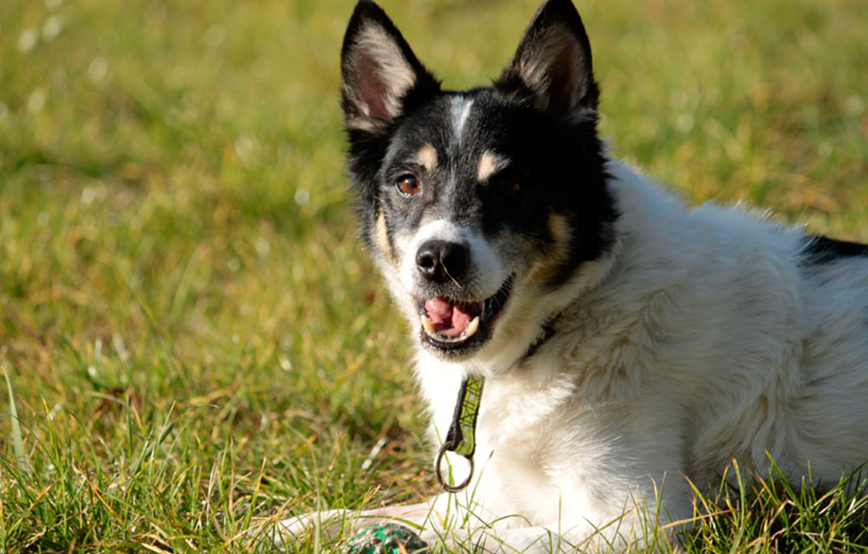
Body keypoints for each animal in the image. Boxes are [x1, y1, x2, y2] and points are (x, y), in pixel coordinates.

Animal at [276, 1, 868, 548]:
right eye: (407, 183)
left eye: (512, 186)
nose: (439, 259)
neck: (566, 313)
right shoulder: (483, 495)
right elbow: (368, 515)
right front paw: (285, 528)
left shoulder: (639, 522)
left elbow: (478, 538)